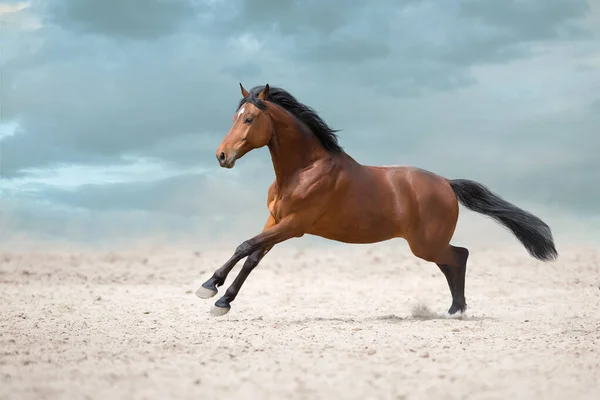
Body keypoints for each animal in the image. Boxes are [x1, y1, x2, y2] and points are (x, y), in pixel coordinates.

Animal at [197, 83, 556, 318]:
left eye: (249, 119)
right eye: (234, 117)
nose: (222, 156)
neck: (303, 170)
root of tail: (446, 183)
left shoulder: (294, 225)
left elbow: (245, 246)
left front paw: (210, 288)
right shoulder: (275, 221)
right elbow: (252, 257)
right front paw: (221, 298)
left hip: (425, 244)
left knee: (460, 256)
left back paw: (457, 310)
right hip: (427, 244)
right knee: (451, 262)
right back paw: (454, 308)